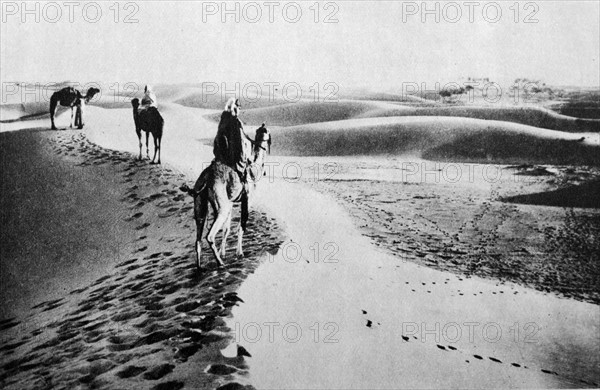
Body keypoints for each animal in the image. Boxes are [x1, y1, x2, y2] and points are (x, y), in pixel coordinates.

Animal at [179, 124, 270, 268]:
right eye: (265, 131)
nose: (263, 125)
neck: (254, 169)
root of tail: (206, 178)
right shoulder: (247, 199)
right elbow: (241, 226)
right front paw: (239, 253)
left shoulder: (231, 202)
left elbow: (226, 229)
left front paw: (224, 253)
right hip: (221, 206)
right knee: (209, 236)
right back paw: (220, 263)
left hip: (201, 205)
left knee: (198, 238)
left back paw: (200, 266)